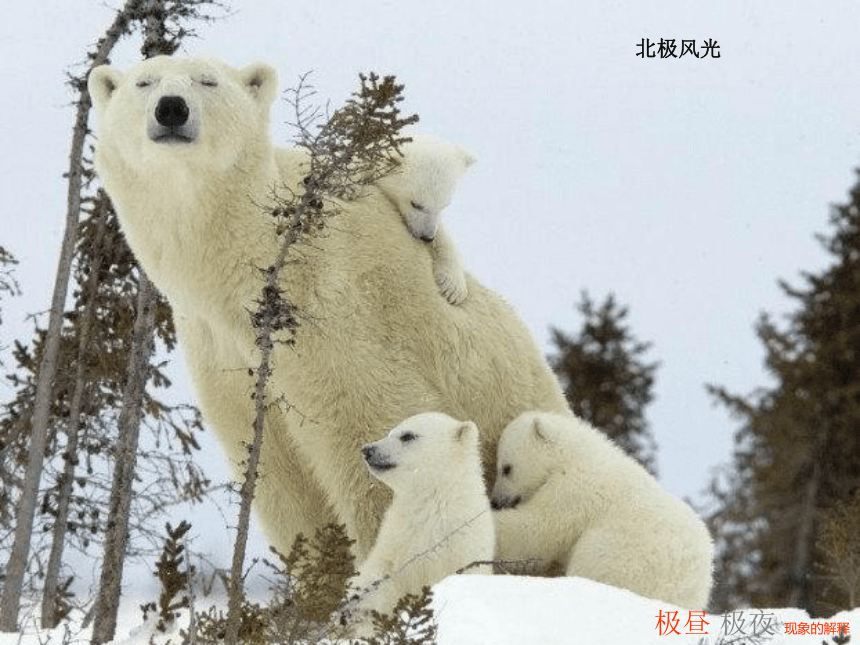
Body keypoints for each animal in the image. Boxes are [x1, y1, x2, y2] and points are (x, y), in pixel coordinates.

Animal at [89, 56, 572, 560]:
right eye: (144, 82)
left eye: (208, 81)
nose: (171, 108)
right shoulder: (222, 351)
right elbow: (280, 477)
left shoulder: (334, 312)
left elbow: (370, 432)